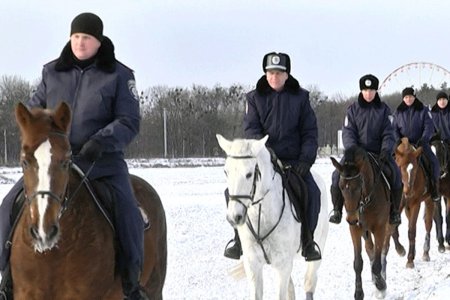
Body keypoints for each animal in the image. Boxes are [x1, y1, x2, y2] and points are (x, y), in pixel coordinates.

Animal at [216, 135, 328, 298]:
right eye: (226, 172)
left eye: (249, 174)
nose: (233, 217)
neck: (262, 216)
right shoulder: (253, 264)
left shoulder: (283, 265)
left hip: (316, 253)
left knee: (309, 283)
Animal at [328, 145, 392, 300]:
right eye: (340, 186)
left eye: (359, 185)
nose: (352, 219)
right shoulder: (355, 229)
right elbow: (358, 263)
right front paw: (358, 293)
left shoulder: (380, 228)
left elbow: (377, 262)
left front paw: (381, 285)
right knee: (370, 248)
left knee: (381, 250)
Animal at [394, 137, 436, 268]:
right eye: (400, 166)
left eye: (415, 168)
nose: (408, 192)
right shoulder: (397, 205)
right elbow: (393, 228)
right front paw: (400, 250)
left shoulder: (415, 204)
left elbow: (412, 231)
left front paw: (410, 259)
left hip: (429, 201)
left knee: (428, 224)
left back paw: (426, 253)